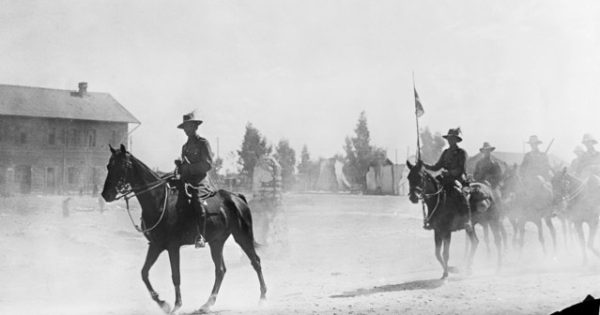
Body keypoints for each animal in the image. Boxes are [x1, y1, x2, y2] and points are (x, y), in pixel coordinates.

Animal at [101, 145, 268, 314]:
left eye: (123, 165)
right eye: (109, 165)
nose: (106, 194)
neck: (160, 201)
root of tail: (237, 197)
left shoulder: (173, 246)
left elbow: (176, 275)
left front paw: (176, 305)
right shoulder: (156, 245)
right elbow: (144, 273)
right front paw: (162, 303)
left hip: (242, 236)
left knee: (256, 261)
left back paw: (262, 298)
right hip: (216, 242)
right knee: (220, 270)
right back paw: (207, 304)